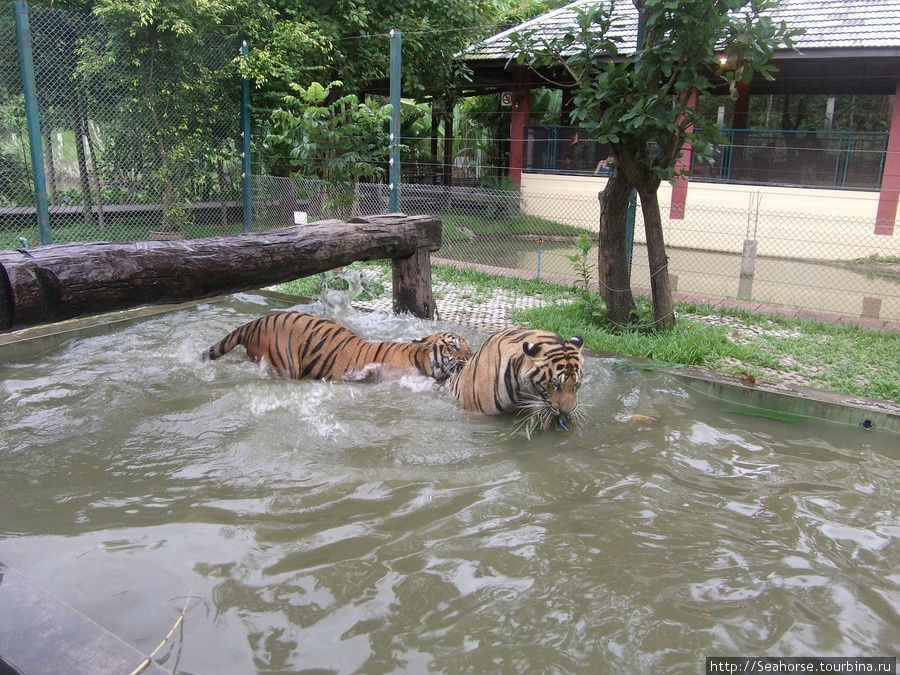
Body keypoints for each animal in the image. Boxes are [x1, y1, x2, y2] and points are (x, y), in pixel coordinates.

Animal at [204, 310, 472, 382]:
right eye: (453, 347)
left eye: (469, 347)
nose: (471, 357)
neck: (417, 359)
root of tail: (254, 322)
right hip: (283, 366)